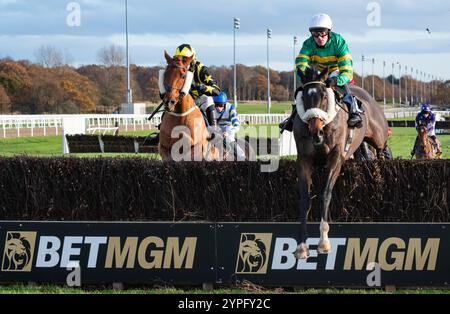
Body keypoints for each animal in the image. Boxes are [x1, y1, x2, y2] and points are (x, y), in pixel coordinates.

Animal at [294, 65, 392, 258]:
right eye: (304, 97)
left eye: (324, 96)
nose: (315, 132)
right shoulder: (304, 160)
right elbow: (305, 199)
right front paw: (302, 246)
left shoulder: (336, 158)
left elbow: (325, 194)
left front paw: (323, 242)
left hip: (379, 137)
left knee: (382, 149)